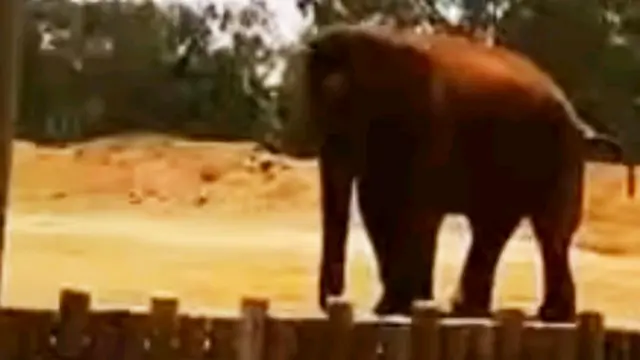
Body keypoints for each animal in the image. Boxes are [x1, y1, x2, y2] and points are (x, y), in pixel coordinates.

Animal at [276, 23, 624, 322]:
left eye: (350, 106)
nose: (334, 302)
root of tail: (578, 121)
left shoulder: (432, 124)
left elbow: (416, 209)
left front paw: (396, 308)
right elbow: (377, 207)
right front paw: (396, 307)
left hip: (559, 154)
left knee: (549, 229)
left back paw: (549, 315)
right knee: (494, 225)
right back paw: (469, 310)